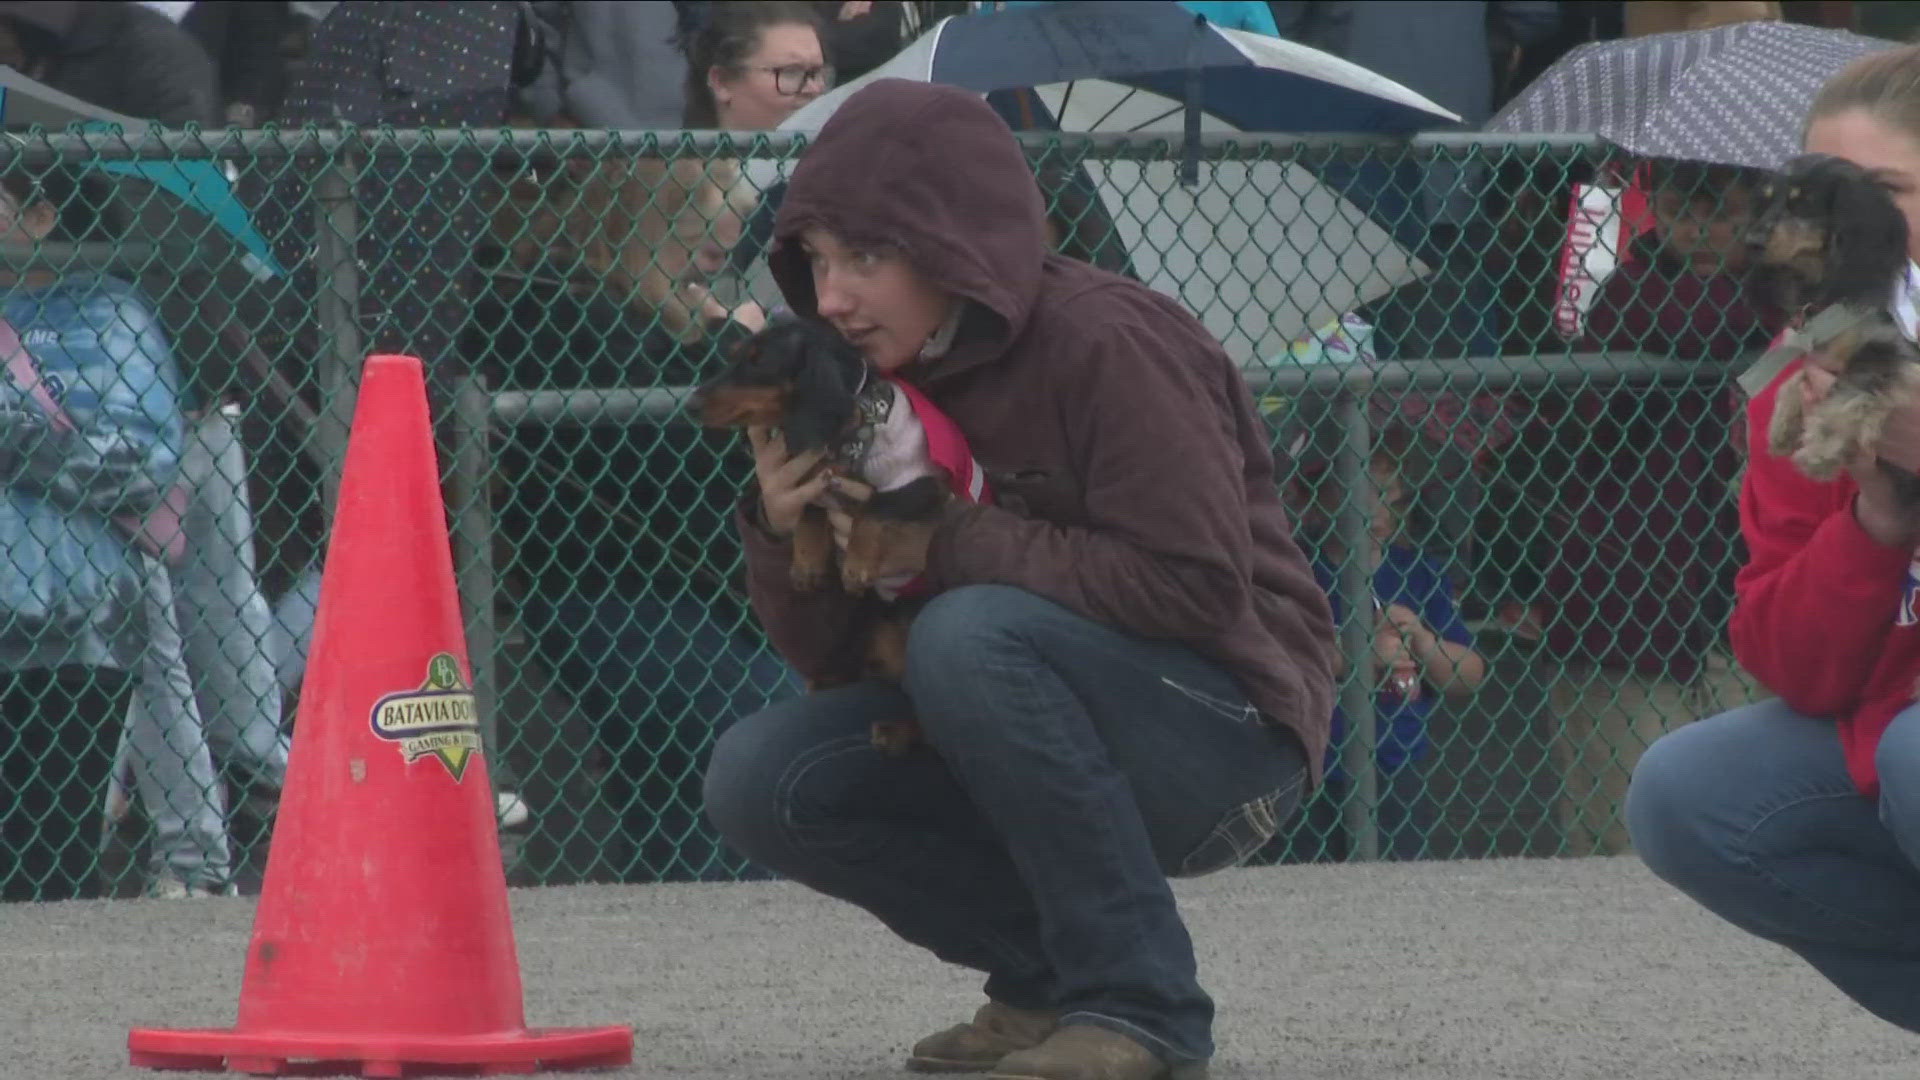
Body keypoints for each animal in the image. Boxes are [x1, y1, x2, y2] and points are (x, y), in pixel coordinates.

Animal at [695, 315, 956, 753]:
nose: (691, 403)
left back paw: (899, 732)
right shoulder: (815, 477)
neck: (854, 432)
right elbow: (810, 512)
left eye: (758, 362)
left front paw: (857, 565)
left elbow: (874, 510)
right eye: (734, 356)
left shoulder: (919, 483)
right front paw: (807, 565)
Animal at [1751, 154, 1920, 484]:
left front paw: (1822, 447)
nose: (1750, 240)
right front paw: (1782, 424)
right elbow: (1797, 377)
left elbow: (1852, 389)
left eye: (1804, 202)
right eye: (1765, 200)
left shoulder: (1890, 349)